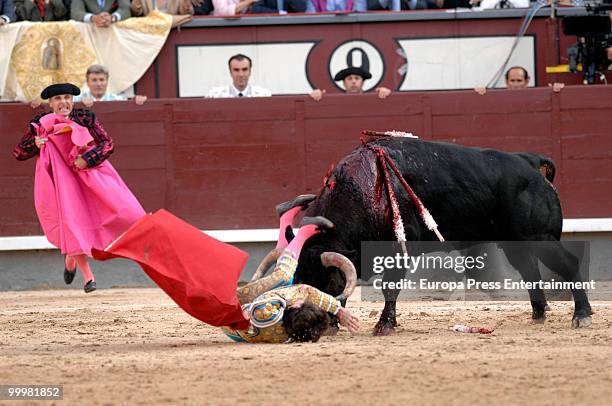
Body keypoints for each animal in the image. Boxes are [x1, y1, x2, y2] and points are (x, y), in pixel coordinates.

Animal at [292, 136, 592, 334]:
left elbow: (390, 287)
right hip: (515, 243)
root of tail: (529, 162)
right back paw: (538, 313)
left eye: (325, 283)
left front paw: (384, 325)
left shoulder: (398, 251)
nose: (306, 327)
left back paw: (582, 315)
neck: (364, 191)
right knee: (529, 271)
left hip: (541, 237)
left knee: (567, 264)